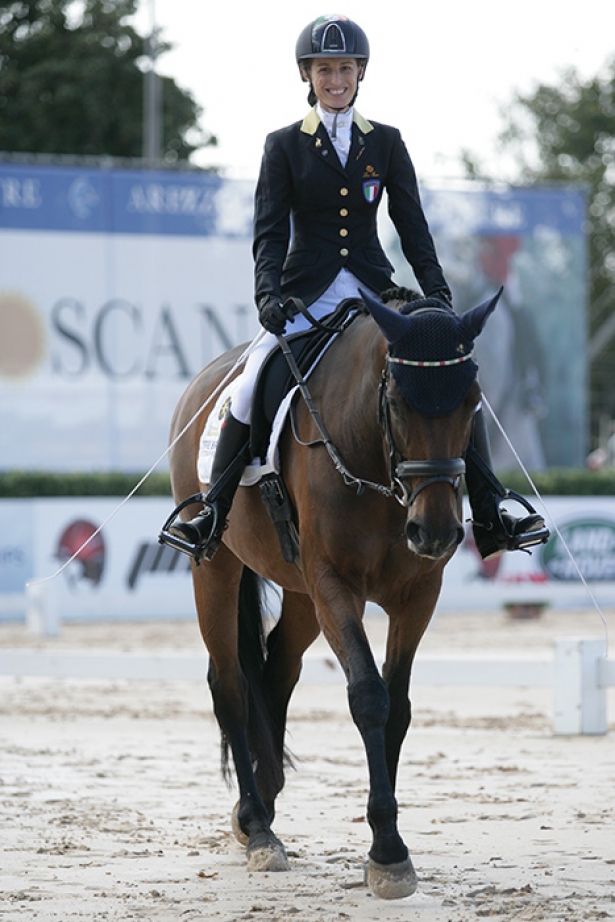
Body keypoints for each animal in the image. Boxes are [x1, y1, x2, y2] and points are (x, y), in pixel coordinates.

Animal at [164, 284, 500, 896]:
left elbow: (399, 706)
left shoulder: (419, 593)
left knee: (275, 671)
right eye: (397, 403)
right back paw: (260, 828)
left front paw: (384, 844)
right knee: (229, 684)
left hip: (299, 593)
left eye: (472, 403)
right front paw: (388, 851)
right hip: (217, 568)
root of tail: (206, 377)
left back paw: (261, 806)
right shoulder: (334, 586)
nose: (435, 532)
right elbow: (368, 695)